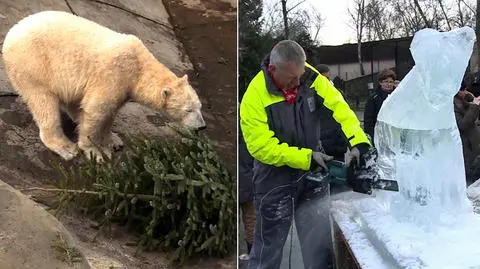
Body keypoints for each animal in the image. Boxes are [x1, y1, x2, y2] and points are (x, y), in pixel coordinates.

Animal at [0, 9, 206, 161]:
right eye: (188, 110)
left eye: (200, 107)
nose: (202, 127)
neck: (139, 68)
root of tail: (11, 33)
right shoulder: (114, 75)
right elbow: (97, 110)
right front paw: (95, 151)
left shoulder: (123, 87)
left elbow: (109, 112)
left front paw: (112, 140)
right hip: (33, 66)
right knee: (44, 104)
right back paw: (66, 147)